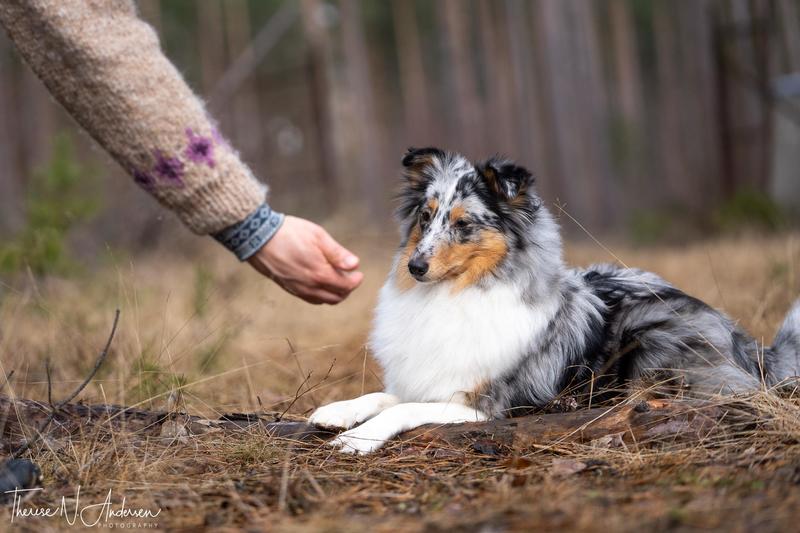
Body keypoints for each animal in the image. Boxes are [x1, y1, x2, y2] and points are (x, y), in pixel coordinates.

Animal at [308, 149, 800, 454]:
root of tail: (744, 341)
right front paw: (337, 412)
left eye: (463, 224)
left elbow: (405, 408)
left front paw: (360, 439)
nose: (414, 267)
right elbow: (384, 395)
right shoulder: (427, 378)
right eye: (425, 219)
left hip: (652, 338)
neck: (456, 293)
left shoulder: (481, 404)